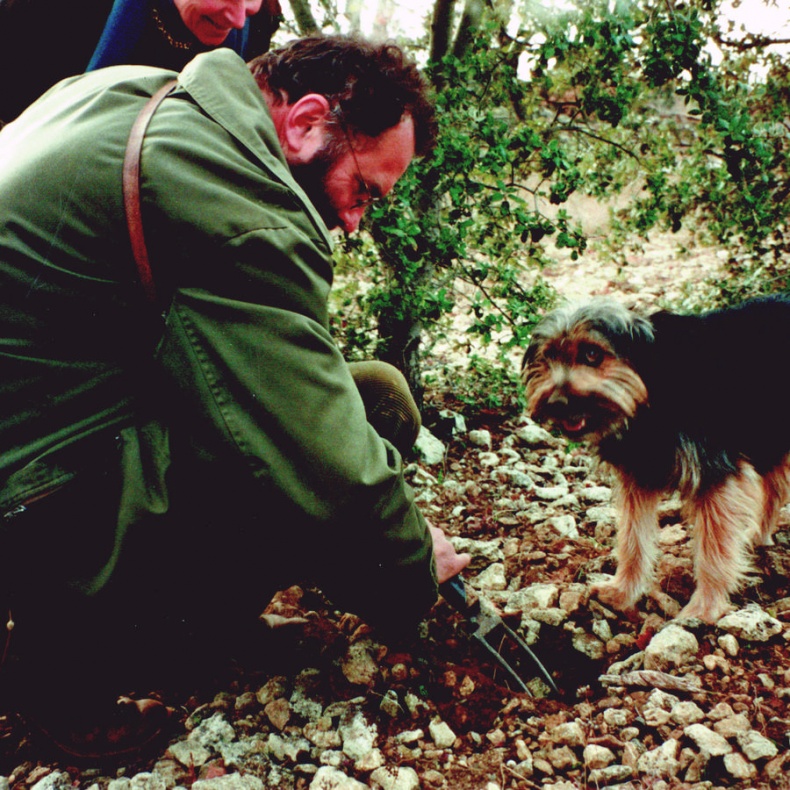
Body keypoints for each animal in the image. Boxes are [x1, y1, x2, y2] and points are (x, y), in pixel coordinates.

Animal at [524, 296, 790, 624]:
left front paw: (705, 608)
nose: (557, 403)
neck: (651, 389)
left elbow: (713, 549)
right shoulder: (636, 479)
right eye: (548, 356)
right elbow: (632, 539)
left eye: (592, 354)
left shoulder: (716, 476)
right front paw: (622, 591)